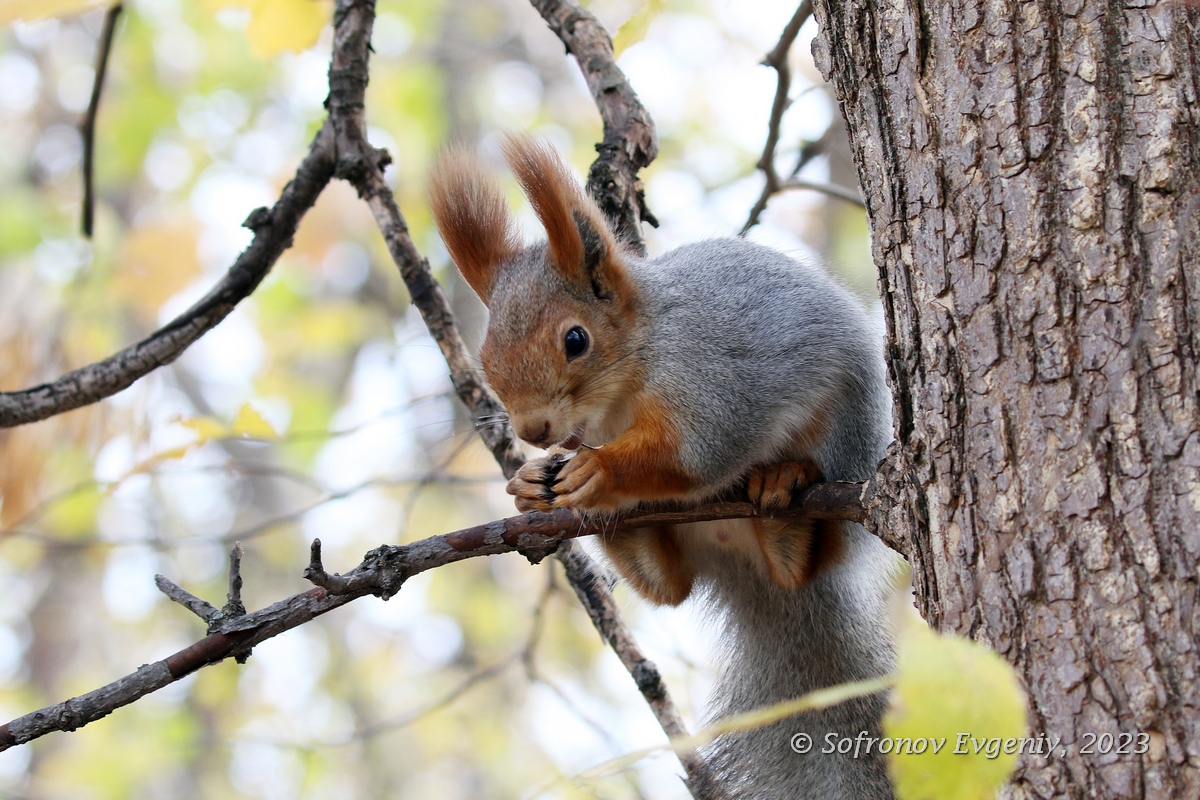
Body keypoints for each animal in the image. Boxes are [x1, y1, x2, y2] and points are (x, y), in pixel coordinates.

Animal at [432, 137, 902, 800]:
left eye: (575, 340)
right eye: (488, 355)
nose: (532, 432)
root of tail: (744, 563)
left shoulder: (709, 375)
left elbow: (695, 452)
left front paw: (600, 471)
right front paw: (530, 481)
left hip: (848, 453)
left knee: (811, 557)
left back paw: (783, 498)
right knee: (669, 586)